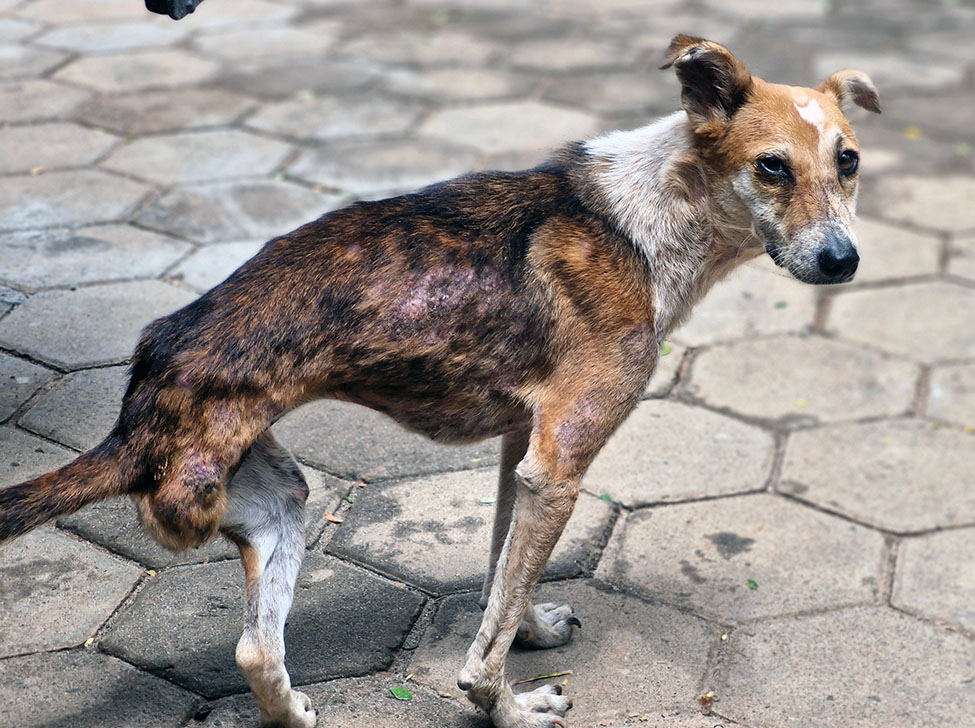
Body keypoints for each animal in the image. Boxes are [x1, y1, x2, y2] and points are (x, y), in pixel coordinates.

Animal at [0, 36, 878, 728]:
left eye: (848, 162)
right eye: (771, 168)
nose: (843, 262)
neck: (646, 215)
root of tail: (140, 402)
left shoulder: (523, 454)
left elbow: (500, 583)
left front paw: (527, 632)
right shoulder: (559, 468)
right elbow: (482, 649)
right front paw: (510, 708)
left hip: (276, 501)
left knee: (253, 648)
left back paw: (292, 713)